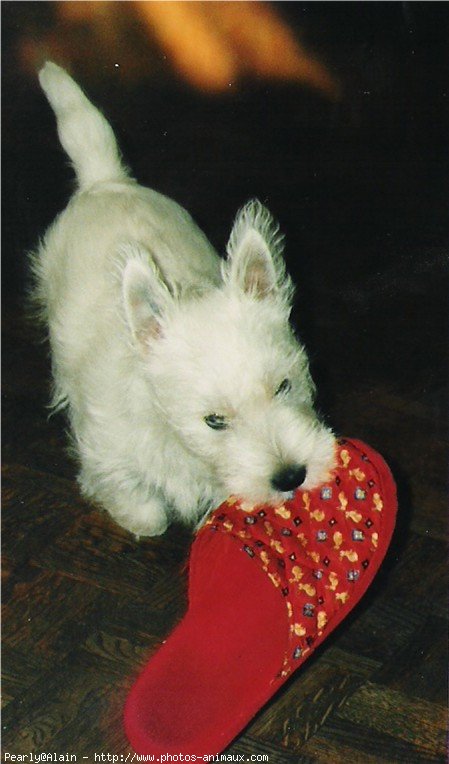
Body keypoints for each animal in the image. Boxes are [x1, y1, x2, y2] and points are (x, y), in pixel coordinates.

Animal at [30, 61, 332, 536]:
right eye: (214, 421)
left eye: (285, 385)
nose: (291, 476)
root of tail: (107, 181)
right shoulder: (107, 455)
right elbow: (144, 509)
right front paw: (142, 517)